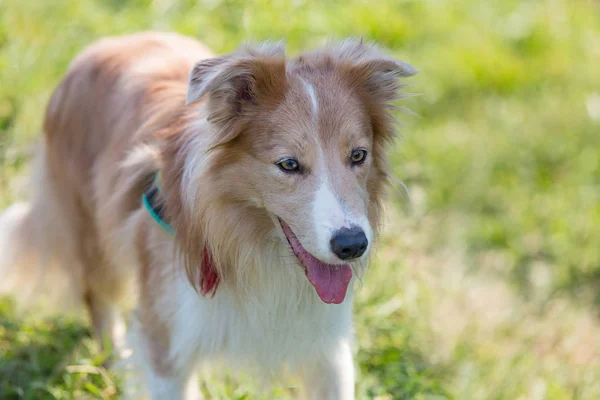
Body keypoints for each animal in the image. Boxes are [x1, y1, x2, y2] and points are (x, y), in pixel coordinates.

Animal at [0, 32, 414, 400]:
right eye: (288, 164)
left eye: (358, 155)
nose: (352, 245)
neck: (249, 243)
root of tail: (102, 46)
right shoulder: (166, 343)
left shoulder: (327, 348)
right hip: (93, 238)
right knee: (97, 299)